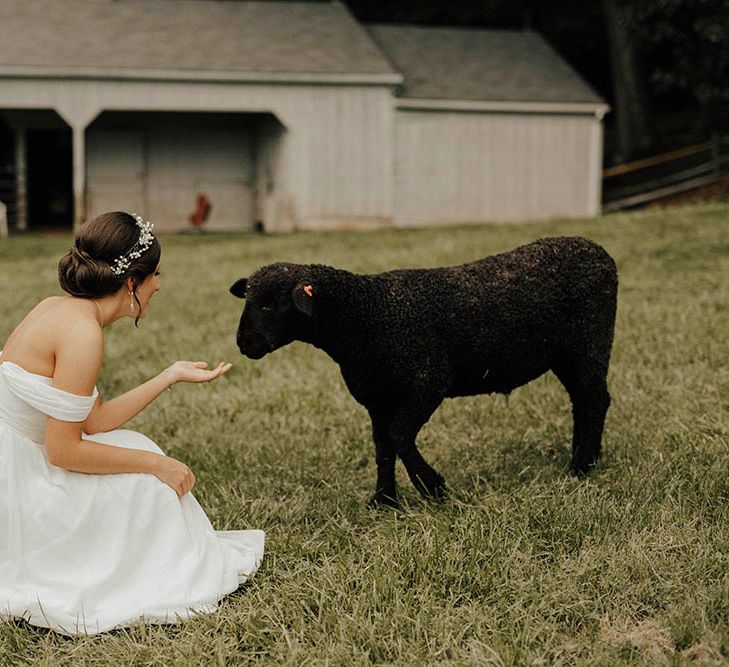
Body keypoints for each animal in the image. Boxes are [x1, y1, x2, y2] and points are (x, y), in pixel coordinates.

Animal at [230, 237, 616, 508]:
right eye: (247, 299)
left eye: (271, 304)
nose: (243, 343)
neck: (366, 317)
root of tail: (599, 251)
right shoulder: (377, 398)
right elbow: (383, 446)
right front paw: (384, 501)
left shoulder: (428, 383)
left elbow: (399, 435)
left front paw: (434, 488)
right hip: (567, 355)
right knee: (582, 402)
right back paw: (584, 459)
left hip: (589, 343)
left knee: (595, 400)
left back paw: (581, 467)